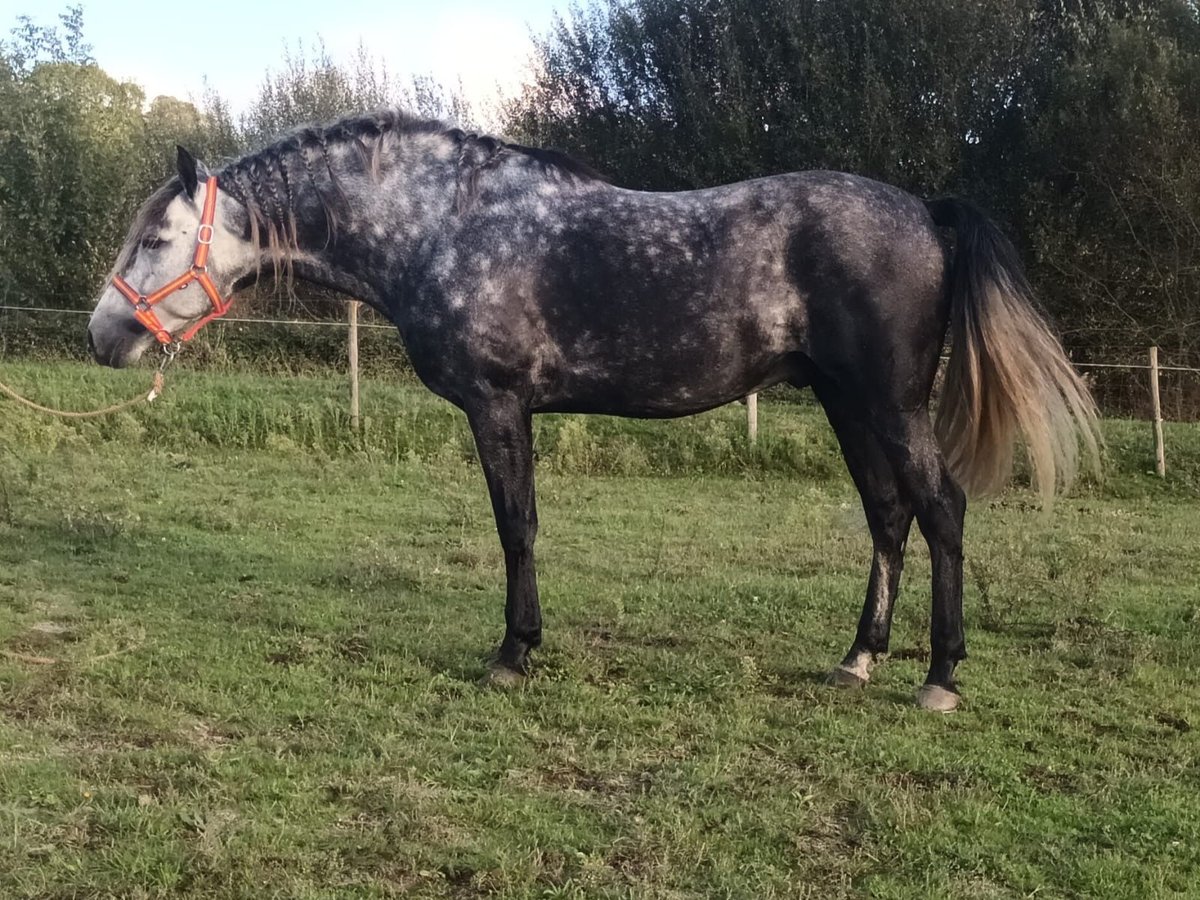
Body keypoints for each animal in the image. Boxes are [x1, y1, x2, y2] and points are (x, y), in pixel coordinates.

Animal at [87, 109, 1099, 710]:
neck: (446, 225)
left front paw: (513, 652)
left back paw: (940, 676)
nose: (104, 335)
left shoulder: (498, 405)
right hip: (849, 404)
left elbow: (516, 527)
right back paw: (858, 658)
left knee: (941, 510)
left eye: (157, 237)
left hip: (890, 403)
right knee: (889, 516)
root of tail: (926, 211)